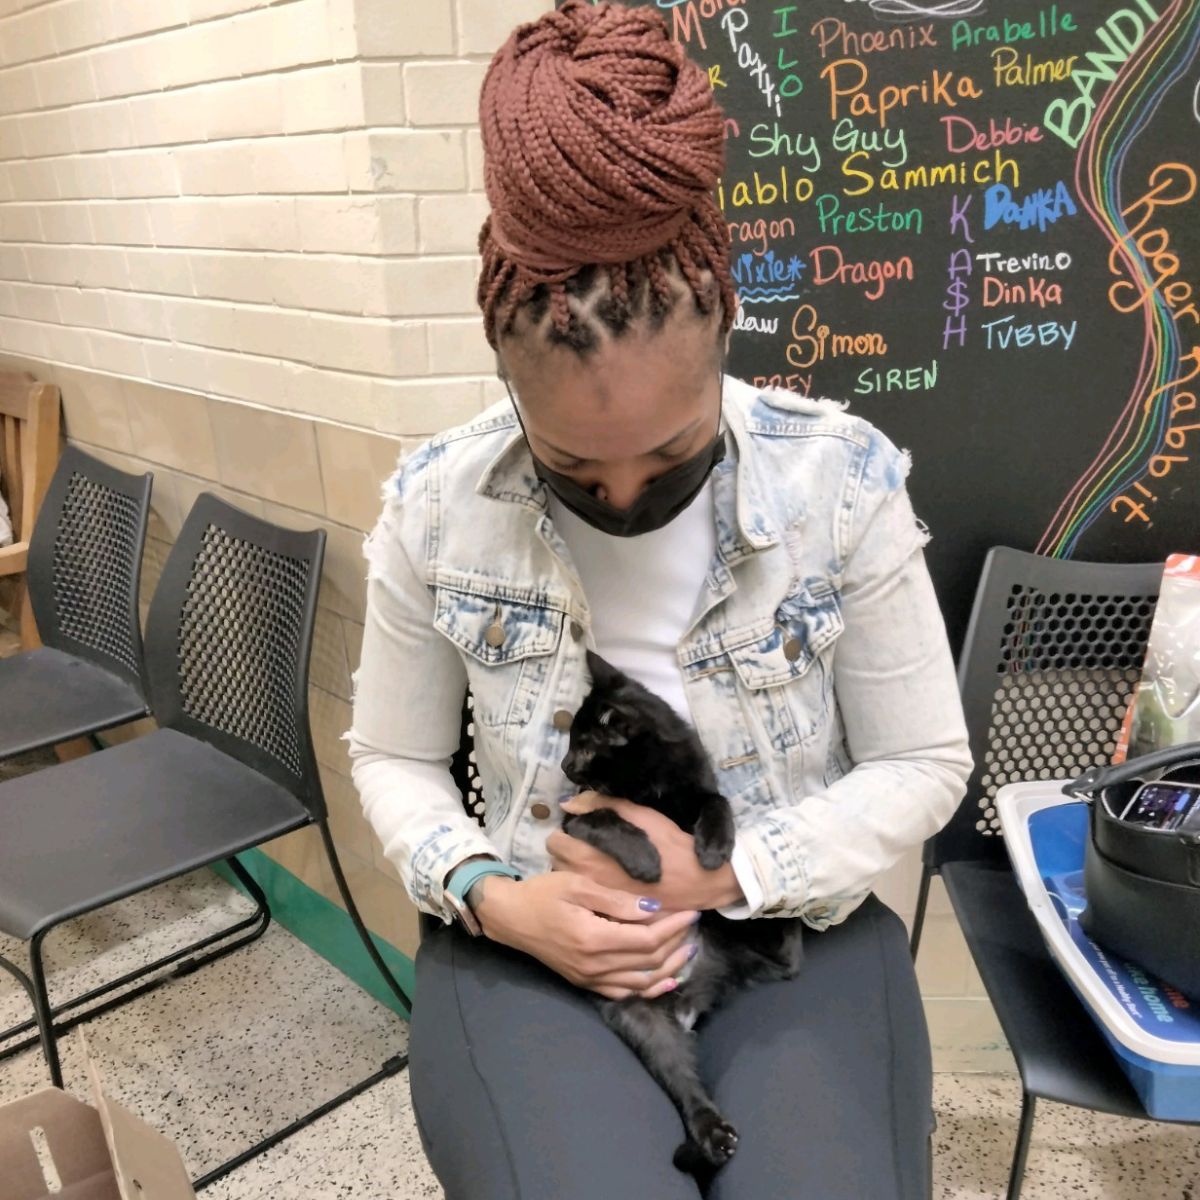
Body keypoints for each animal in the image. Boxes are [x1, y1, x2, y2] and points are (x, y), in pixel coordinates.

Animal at [561, 648, 806, 1180]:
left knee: (789, 959)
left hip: (749, 950)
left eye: (585, 747)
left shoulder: (697, 785)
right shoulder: (573, 820)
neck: (654, 784)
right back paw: (714, 1137)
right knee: (687, 1089)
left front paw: (714, 849)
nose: (566, 766)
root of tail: (688, 1001)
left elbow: (717, 800)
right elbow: (605, 816)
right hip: (644, 1024)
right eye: (571, 743)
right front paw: (646, 861)